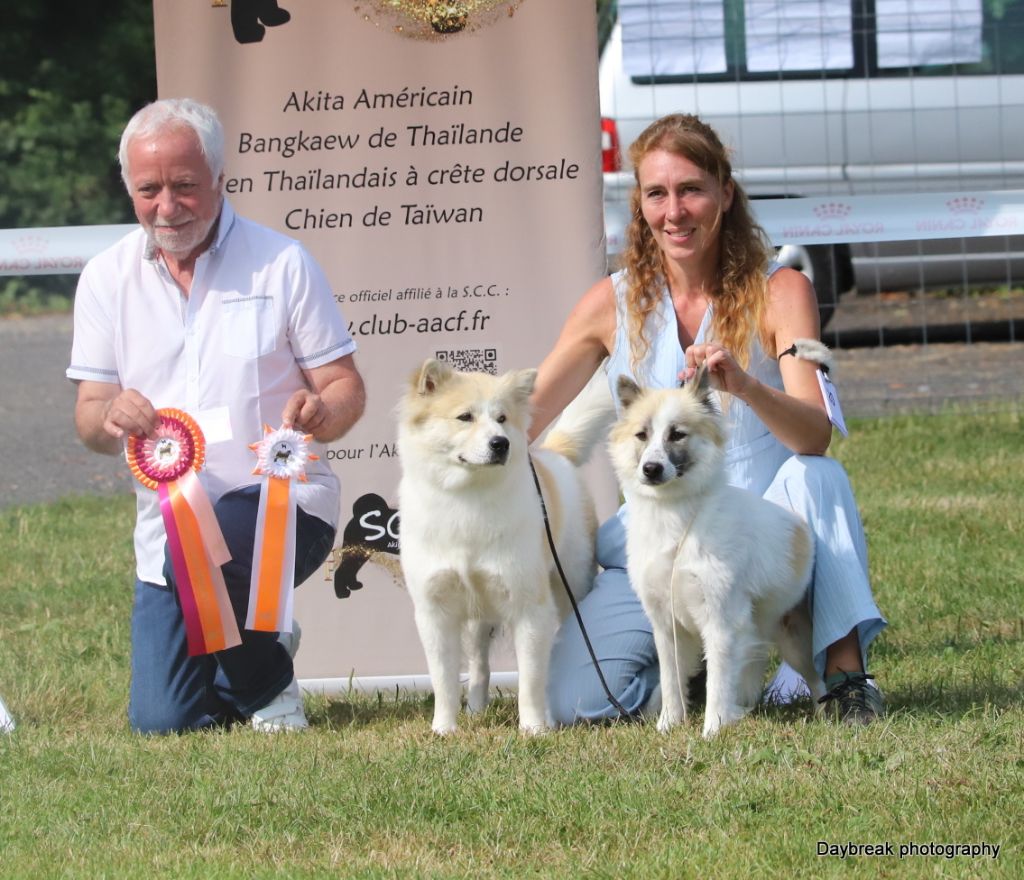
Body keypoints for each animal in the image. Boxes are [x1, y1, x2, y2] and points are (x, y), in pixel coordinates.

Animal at [397, 360, 610, 737]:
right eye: (465, 417)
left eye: (502, 418)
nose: (501, 443)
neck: (467, 499)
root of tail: (555, 455)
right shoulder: (435, 610)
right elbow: (443, 680)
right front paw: (444, 729)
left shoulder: (529, 607)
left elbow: (531, 679)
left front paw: (534, 728)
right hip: (477, 617)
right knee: (479, 666)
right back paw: (476, 709)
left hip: (569, 589)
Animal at [606, 368, 823, 741]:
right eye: (641, 435)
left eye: (677, 434)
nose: (651, 469)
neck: (676, 518)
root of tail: (800, 527)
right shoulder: (667, 627)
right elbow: (671, 680)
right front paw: (669, 724)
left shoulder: (720, 621)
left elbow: (718, 682)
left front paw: (713, 729)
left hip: (795, 640)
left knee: (816, 676)